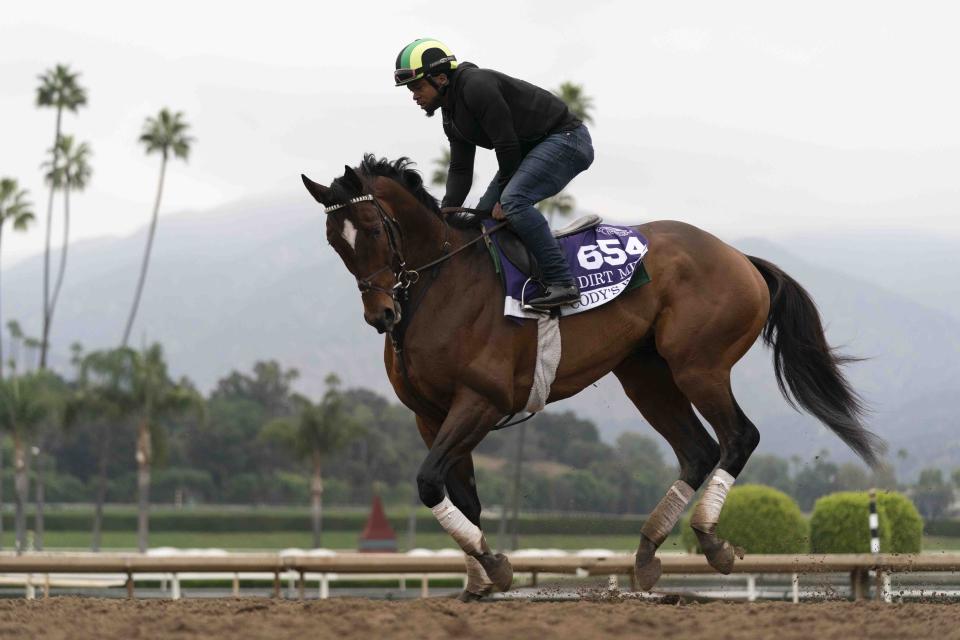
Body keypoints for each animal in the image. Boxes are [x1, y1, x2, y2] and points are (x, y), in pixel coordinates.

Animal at [302, 155, 884, 600]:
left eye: (373, 229)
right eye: (335, 240)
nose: (381, 315)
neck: (441, 283)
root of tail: (738, 255)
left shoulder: (480, 401)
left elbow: (428, 482)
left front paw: (494, 568)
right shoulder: (431, 415)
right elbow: (459, 494)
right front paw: (482, 576)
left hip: (699, 365)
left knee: (738, 436)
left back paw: (711, 542)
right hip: (645, 374)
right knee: (697, 450)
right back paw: (646, 554)